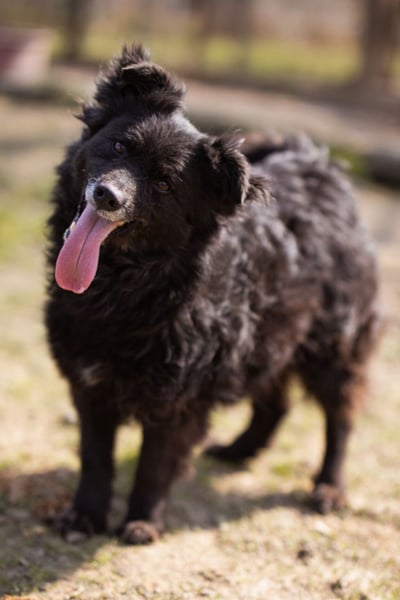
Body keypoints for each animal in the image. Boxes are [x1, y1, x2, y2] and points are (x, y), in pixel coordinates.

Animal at [45, 44, 380, 544]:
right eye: (119, 146)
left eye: (164, 184)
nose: (107, 195)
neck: (124, 286)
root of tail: (321, 168)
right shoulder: (90, 384)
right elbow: (94, 458)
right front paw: (84, 516)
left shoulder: (181, 398)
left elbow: (155, 463)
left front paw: (142, 523)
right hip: (270, 338)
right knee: (276, 401)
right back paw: (240, 450)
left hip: (333, 344)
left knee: (340, 415)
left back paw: (328, 488)